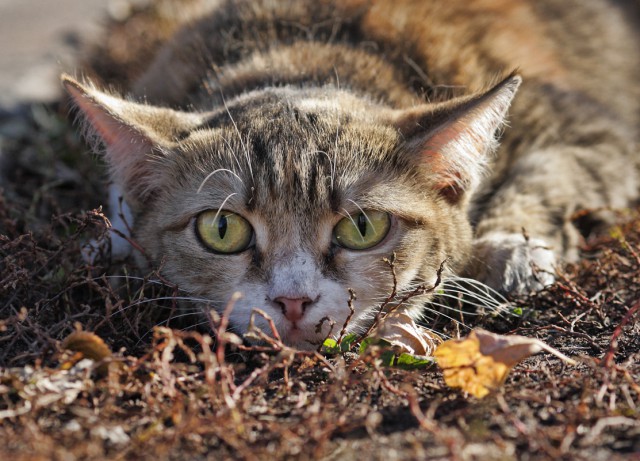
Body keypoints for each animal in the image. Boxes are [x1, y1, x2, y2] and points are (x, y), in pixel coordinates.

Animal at [61, 0, 640, 344]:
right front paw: (110, 244)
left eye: (363, 228)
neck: (306, 60)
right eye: (221, 229)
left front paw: (508, 247)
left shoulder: (593, 127)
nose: (293, 301)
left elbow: (553, 168)